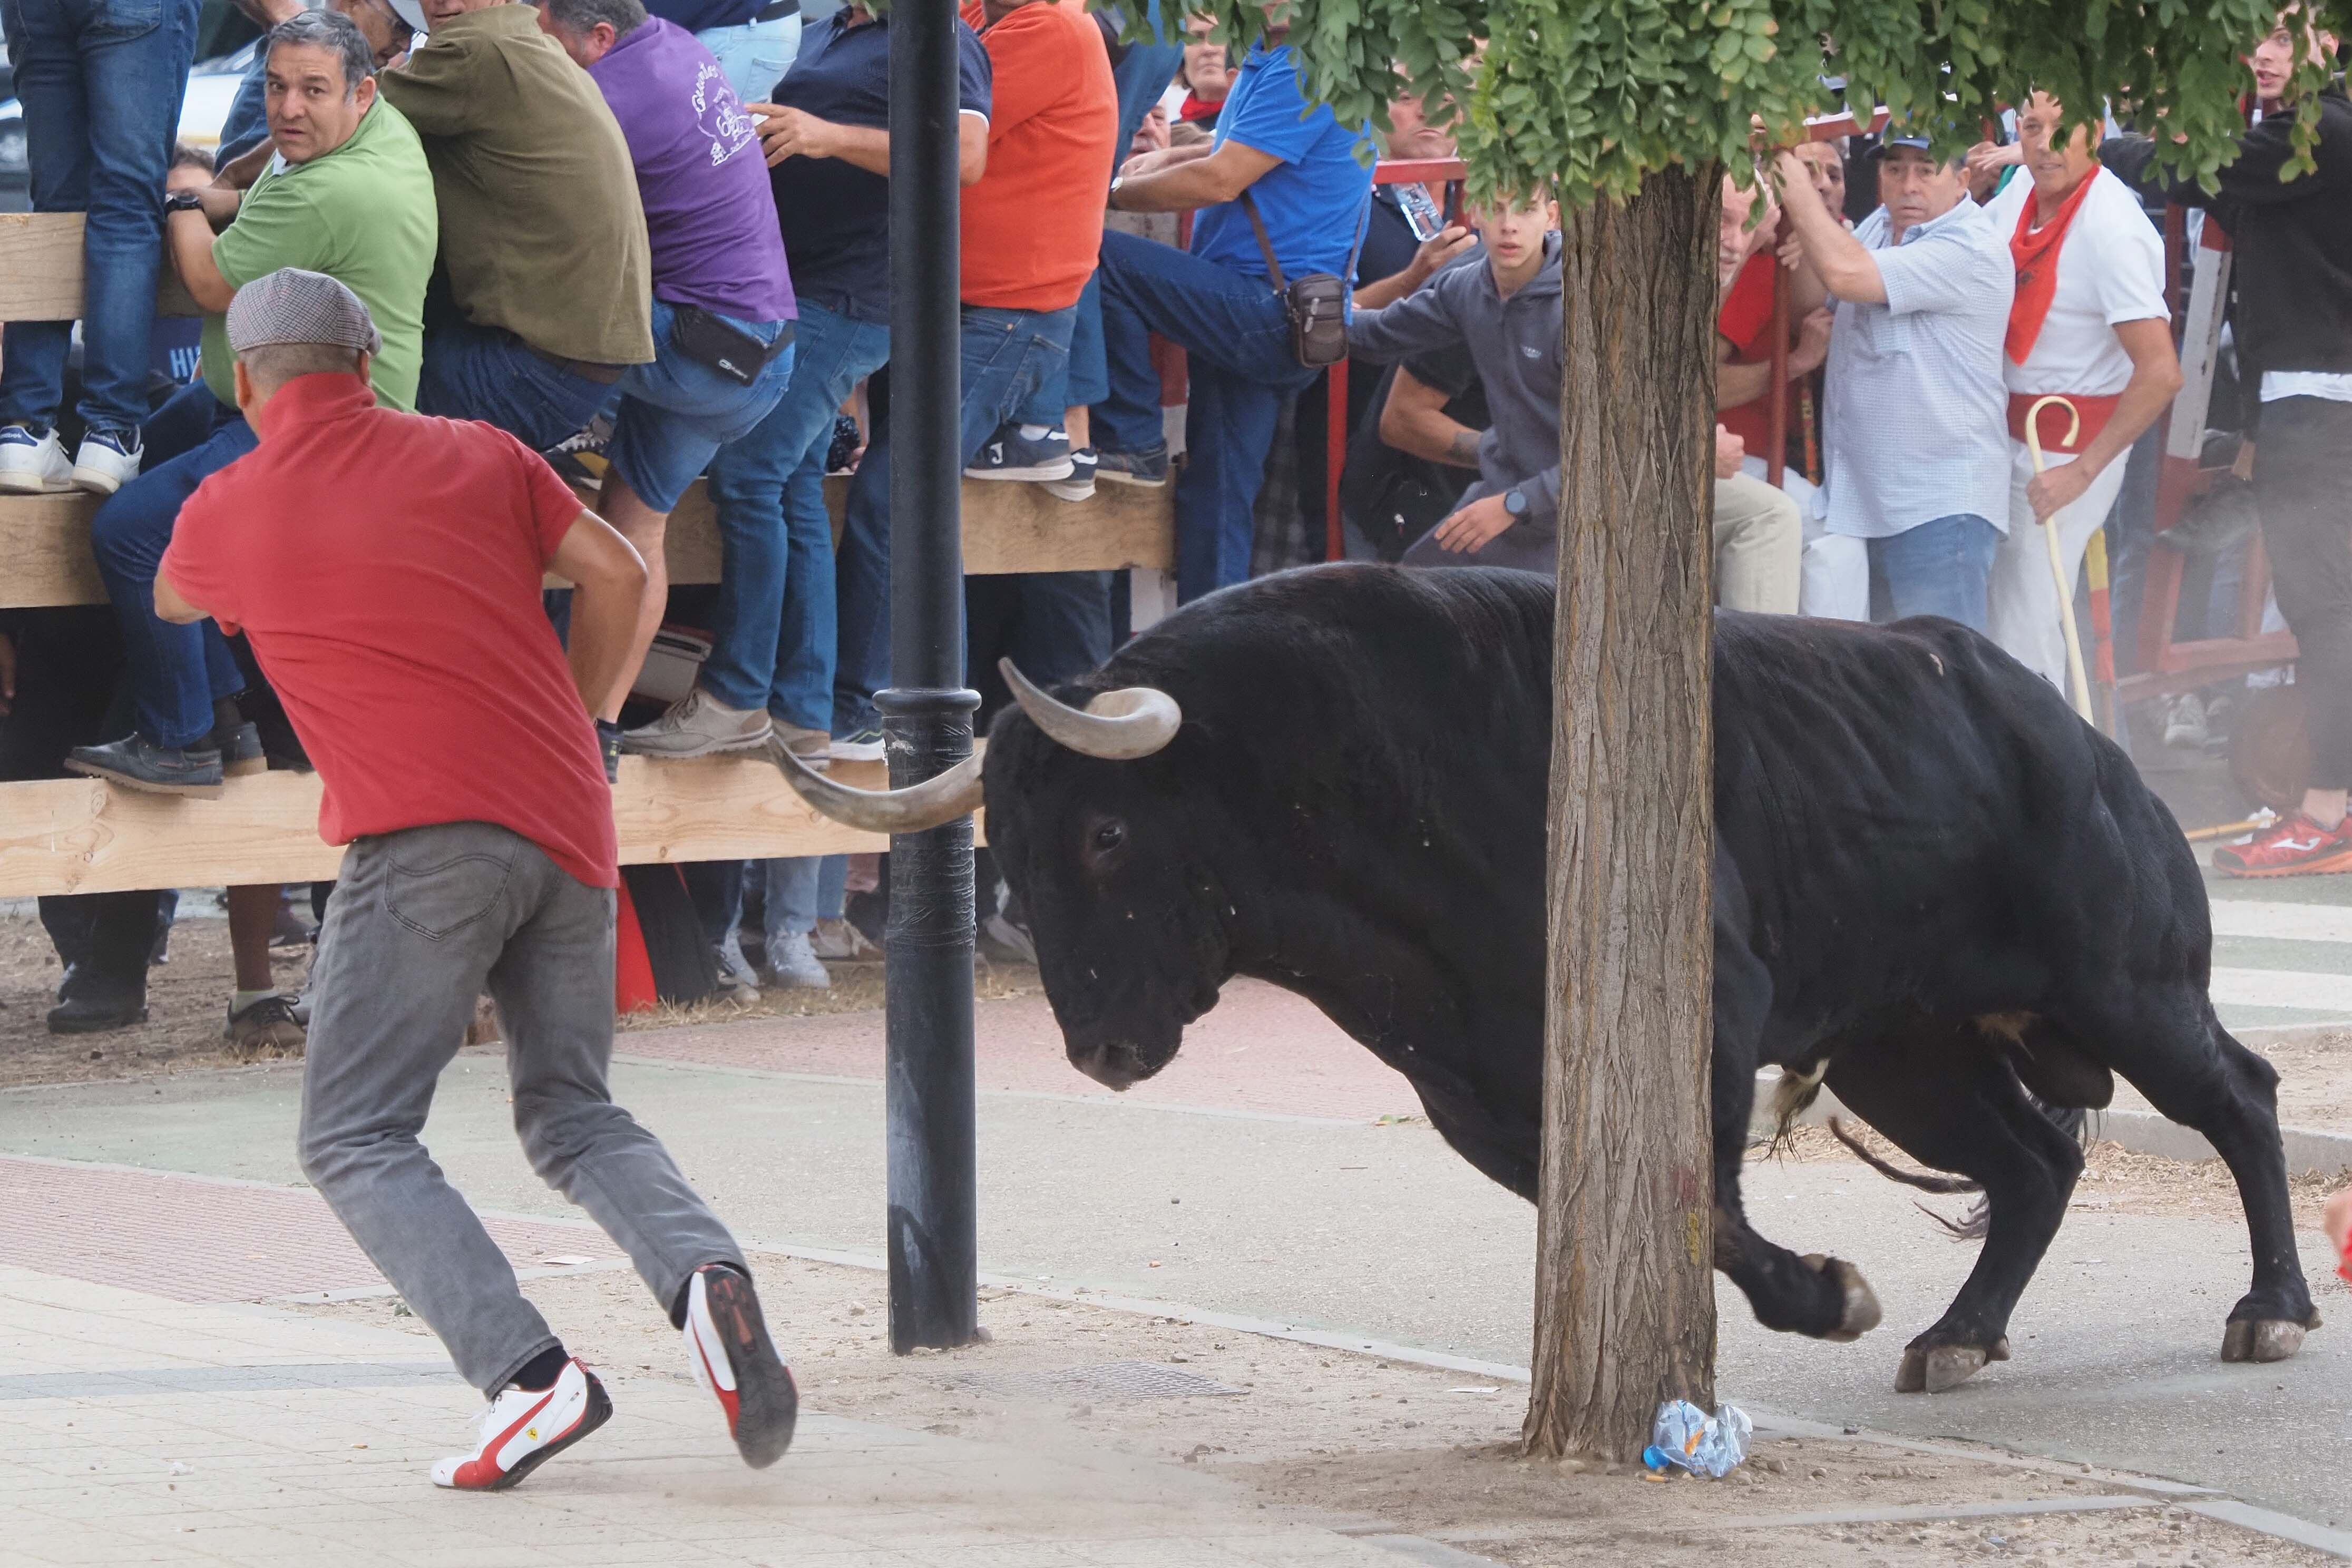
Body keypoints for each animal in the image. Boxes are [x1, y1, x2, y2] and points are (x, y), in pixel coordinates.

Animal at [973, 562, 2314, 1382]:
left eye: (1104, 834)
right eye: (1006, 851)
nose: (1096, 1045)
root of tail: (2080, 740)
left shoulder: (1710, 1013)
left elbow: (1703, 1202)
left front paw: (1829, 1294)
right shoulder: (1472, 1095)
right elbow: (1663, 1208)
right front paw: (1828, 1297)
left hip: (2127, 989)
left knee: (2238, 1097)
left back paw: (2270, 1310)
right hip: (1904, 1054)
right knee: (2034, 1165)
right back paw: (1956, 1335)